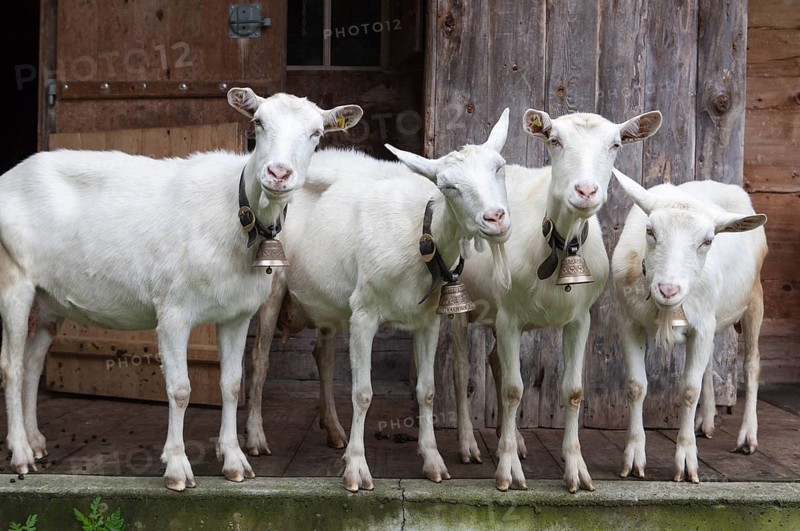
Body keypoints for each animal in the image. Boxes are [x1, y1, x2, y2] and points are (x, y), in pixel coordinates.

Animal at [0, 88, 362, 491]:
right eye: (258, 122)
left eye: (316, 134)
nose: (278, 173)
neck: (234, 212)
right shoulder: (173, 310)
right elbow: (180, 389)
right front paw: (177, 467)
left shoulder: (237, 314)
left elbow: (231, 384)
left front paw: (235, 461)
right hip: (14, 276)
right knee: (12, 365)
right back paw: (20, 454)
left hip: (49, 298)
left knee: (33, 362)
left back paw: (36, 442)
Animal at [247, 109, 512, 492]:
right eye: (448, 186)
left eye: (499, 167)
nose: (496, 218)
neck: (420, 234)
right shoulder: (364, 313)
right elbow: (362, 392)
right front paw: (357, 469)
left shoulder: (428, 320)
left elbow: (427, 390)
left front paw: (433, 461)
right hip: (272, 283)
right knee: (259, 359)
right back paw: (256, 439)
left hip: (329, 300)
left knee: (322, 354)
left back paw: (334, 430)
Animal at [452, 109, 663, 492]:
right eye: (554, 140)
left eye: (615, 144)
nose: (586, 191)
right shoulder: (508, 317)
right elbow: (513, 390)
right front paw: (507, 472)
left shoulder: (580, 318)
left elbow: (573, 390)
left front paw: (575, 469)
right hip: (461, 302)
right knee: (462, 371)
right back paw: (469, 445)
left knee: (494, 361)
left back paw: (513, 439)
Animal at [610, 168, 767, 483]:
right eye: (650, 231)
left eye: (707, 241)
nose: (668, 290)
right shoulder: (629, 322)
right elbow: (636, 386)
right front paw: (633, 458)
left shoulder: (702, 325)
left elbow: (688, 391)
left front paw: (685, 462)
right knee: (708, 366)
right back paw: (705, 421)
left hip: (754, 297)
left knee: (752, 363)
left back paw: (747, 437)